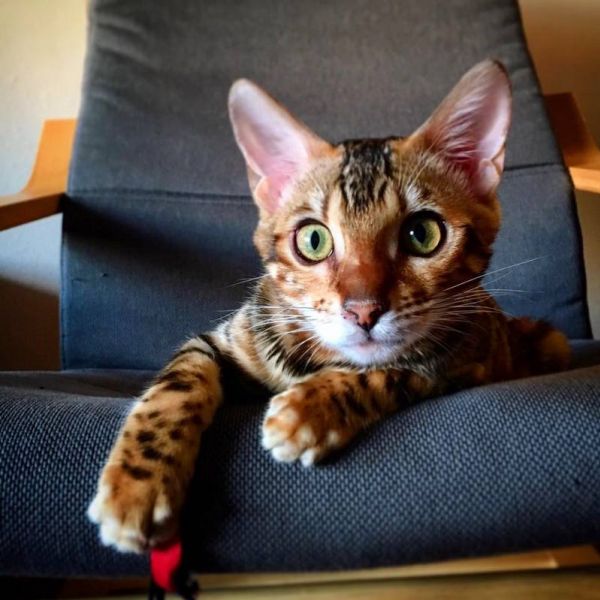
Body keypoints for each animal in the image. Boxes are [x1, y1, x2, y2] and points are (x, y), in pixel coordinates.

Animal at [88, 60, 570, 553]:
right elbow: (178, 380)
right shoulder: (222, 340)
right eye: (313, 240)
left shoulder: (463, 360)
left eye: (422, 234)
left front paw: (308, 410)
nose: (363, 310)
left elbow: (394, 370)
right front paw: (137, 484)